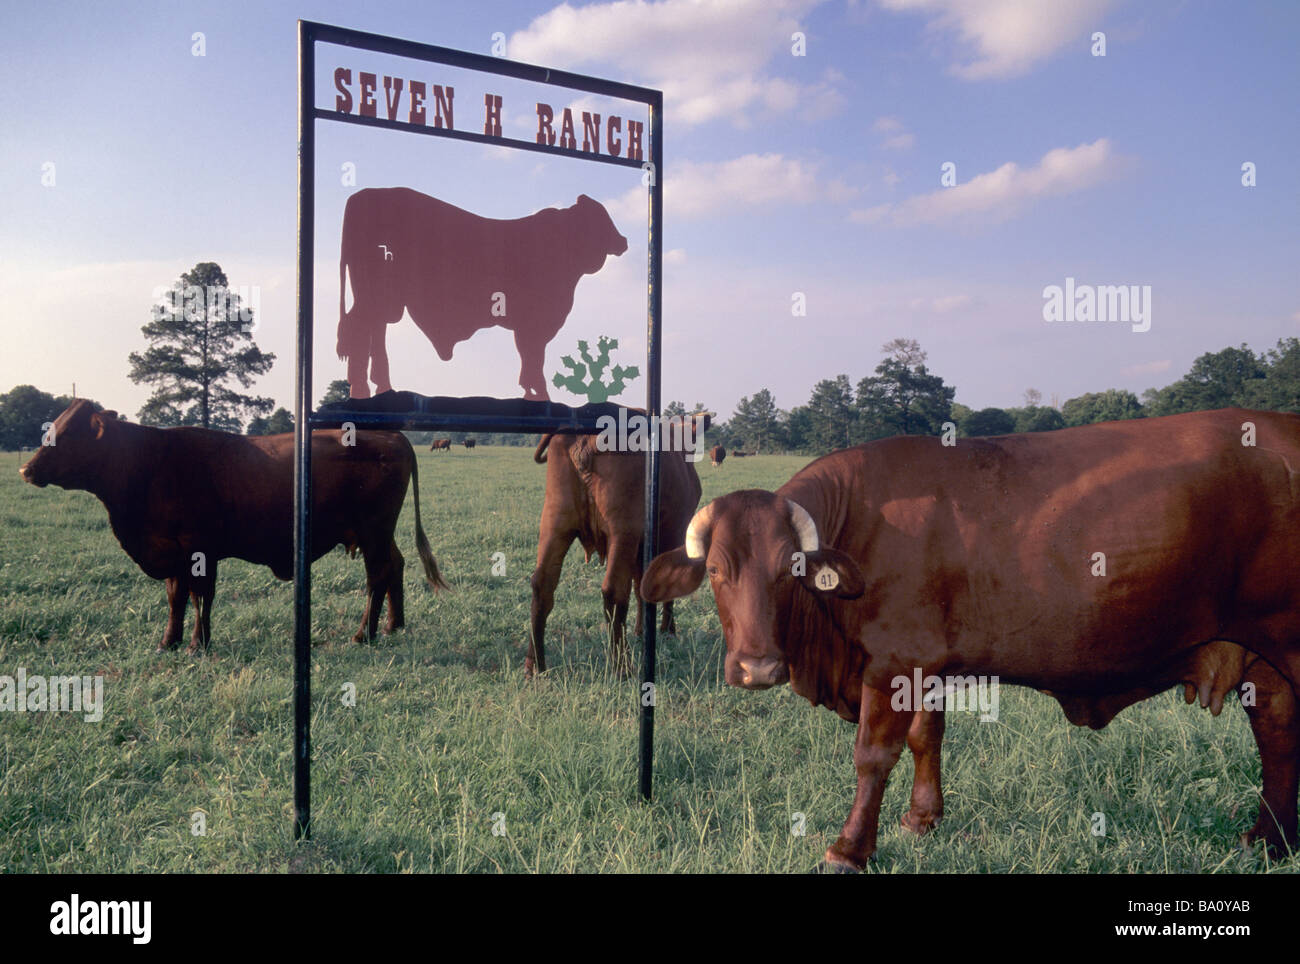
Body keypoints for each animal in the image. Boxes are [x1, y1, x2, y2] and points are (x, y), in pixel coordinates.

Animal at [16, 400, 447, 657]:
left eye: (68, 433)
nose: (25, 469)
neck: (148, 462)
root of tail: (391, 434)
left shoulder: (199, 549)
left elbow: (200, 597)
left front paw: (197, 644)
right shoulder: (173, 552)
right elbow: (175, 598)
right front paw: (168, 642)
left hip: (373, 531)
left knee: (377, 576)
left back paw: (364, 633)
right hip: (379, 534)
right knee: (395, 566)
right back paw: (393, 625)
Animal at [338, 187, 626, 402]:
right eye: (600, 218)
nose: (623, 241)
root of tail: (361, 196)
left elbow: (530, 356)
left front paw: (531, 390)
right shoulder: (533, 323)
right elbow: (533, 356)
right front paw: (539, 392)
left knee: (373, 329)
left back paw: (380, 387)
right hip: (375, 297)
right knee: (362, 328)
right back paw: (364, 390)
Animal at [527, 415, 712, 680]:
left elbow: (642, 586)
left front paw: (643, 630)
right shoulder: (674, 532)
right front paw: (668, 631)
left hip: (555, 524)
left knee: (542, 585)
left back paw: (536, 665)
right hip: (622, 532)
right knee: (614, 592)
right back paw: (622, 666)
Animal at [644, 410, 1300, 873]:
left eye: (791, 568)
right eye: (718, 570)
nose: (756, 668)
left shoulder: (893, 663)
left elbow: (873, 755)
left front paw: (849, 848)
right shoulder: (924, 667)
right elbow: (925, 737)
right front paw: (921, 819)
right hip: (1266, 663)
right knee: (1277, 733)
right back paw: (1269, 840)